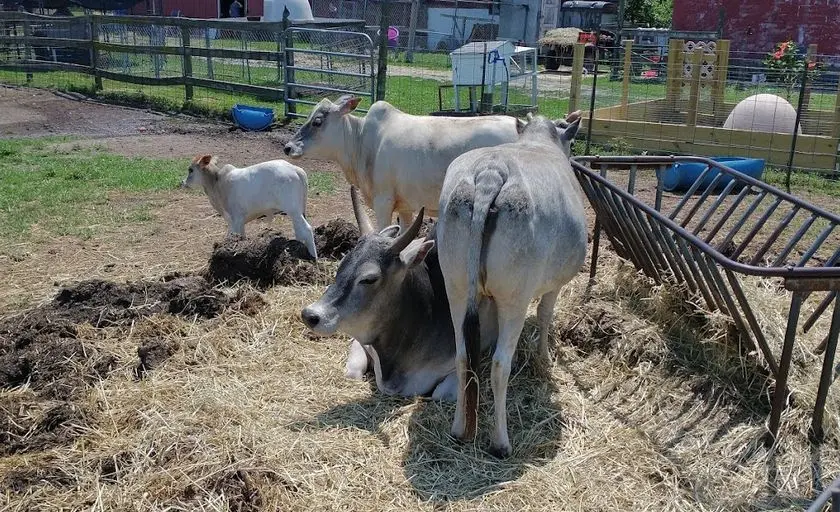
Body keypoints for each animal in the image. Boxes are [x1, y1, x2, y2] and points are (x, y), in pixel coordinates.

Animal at [181, 155, 318, 260]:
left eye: (190, 170)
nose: (183, 183)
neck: (217, 183)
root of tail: (296, 169)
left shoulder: (236, 219)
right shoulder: (235, 222)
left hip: (293, 210)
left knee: (307, 229)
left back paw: (314, 258)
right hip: (297, 212)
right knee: (299, 232)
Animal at [436, 115, 588, 456]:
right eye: (571, 142)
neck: (537, 140)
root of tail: (490, 173)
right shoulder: (553, 284)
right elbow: (545, 315)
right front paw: (544, 359)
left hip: (455, 284)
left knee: (463, 355)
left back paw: (458, 428)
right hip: (515, 295)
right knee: (498, 365)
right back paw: (500, 441)